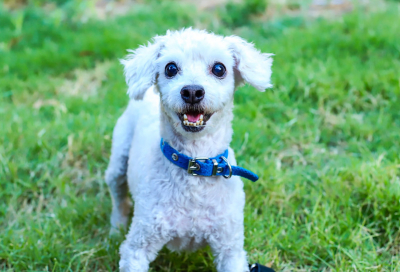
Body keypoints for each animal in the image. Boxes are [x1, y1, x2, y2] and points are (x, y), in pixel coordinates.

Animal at [104, 28, 274, 270]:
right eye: (170, 68)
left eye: (219, 68)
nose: (192, 91)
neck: (195, 164)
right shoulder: (138, 247)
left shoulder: (230, 249)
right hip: (118, 161)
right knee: (118, 196)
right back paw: (116, 228)